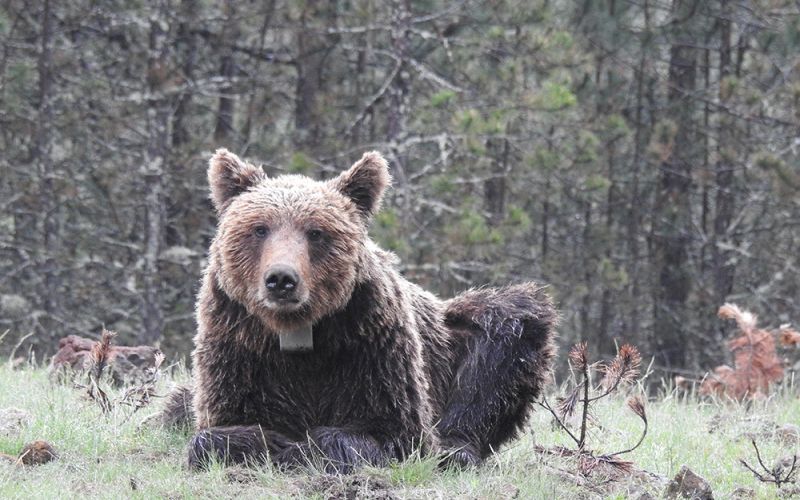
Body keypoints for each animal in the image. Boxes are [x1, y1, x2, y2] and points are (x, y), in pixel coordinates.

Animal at [170, 148, 557, 472]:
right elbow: (216, 430)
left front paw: (305, 447)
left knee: (504, 337)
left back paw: (457, 449)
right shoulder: (240, 347)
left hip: (459, 339)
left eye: (316, 232)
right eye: (259, 228)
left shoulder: (369, 345)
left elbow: (392, 431)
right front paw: (269, 442)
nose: (281, 279)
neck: (298, 330)